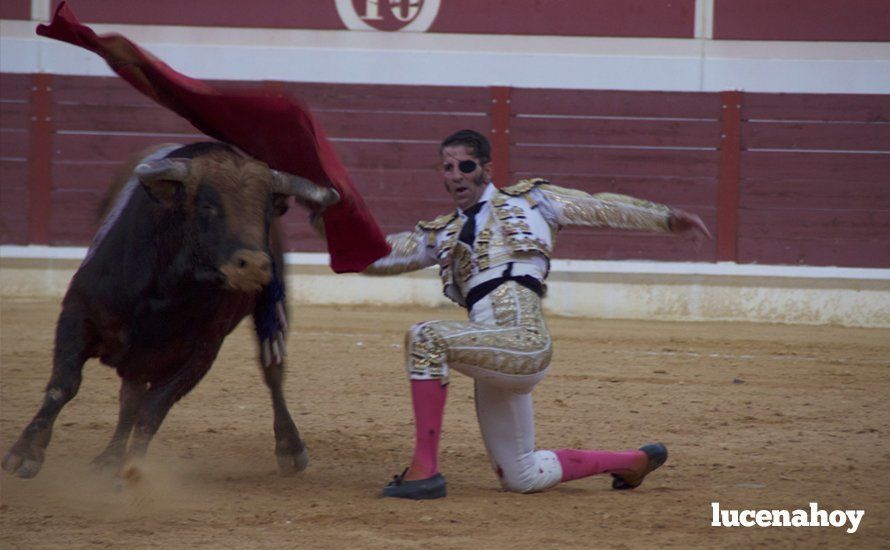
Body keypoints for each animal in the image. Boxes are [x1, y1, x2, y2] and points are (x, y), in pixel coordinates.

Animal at [2, 141, 340, 478]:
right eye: (207, 206)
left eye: (266, 209)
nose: (255, 266)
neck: (169, 288)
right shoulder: (77, 314)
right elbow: (64, 384)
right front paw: (23, 454)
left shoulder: (202, 353)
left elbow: (153, 409)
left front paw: (135, 470)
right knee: (128, 398)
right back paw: (109, 457)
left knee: (272, 373)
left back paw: (290, 448)